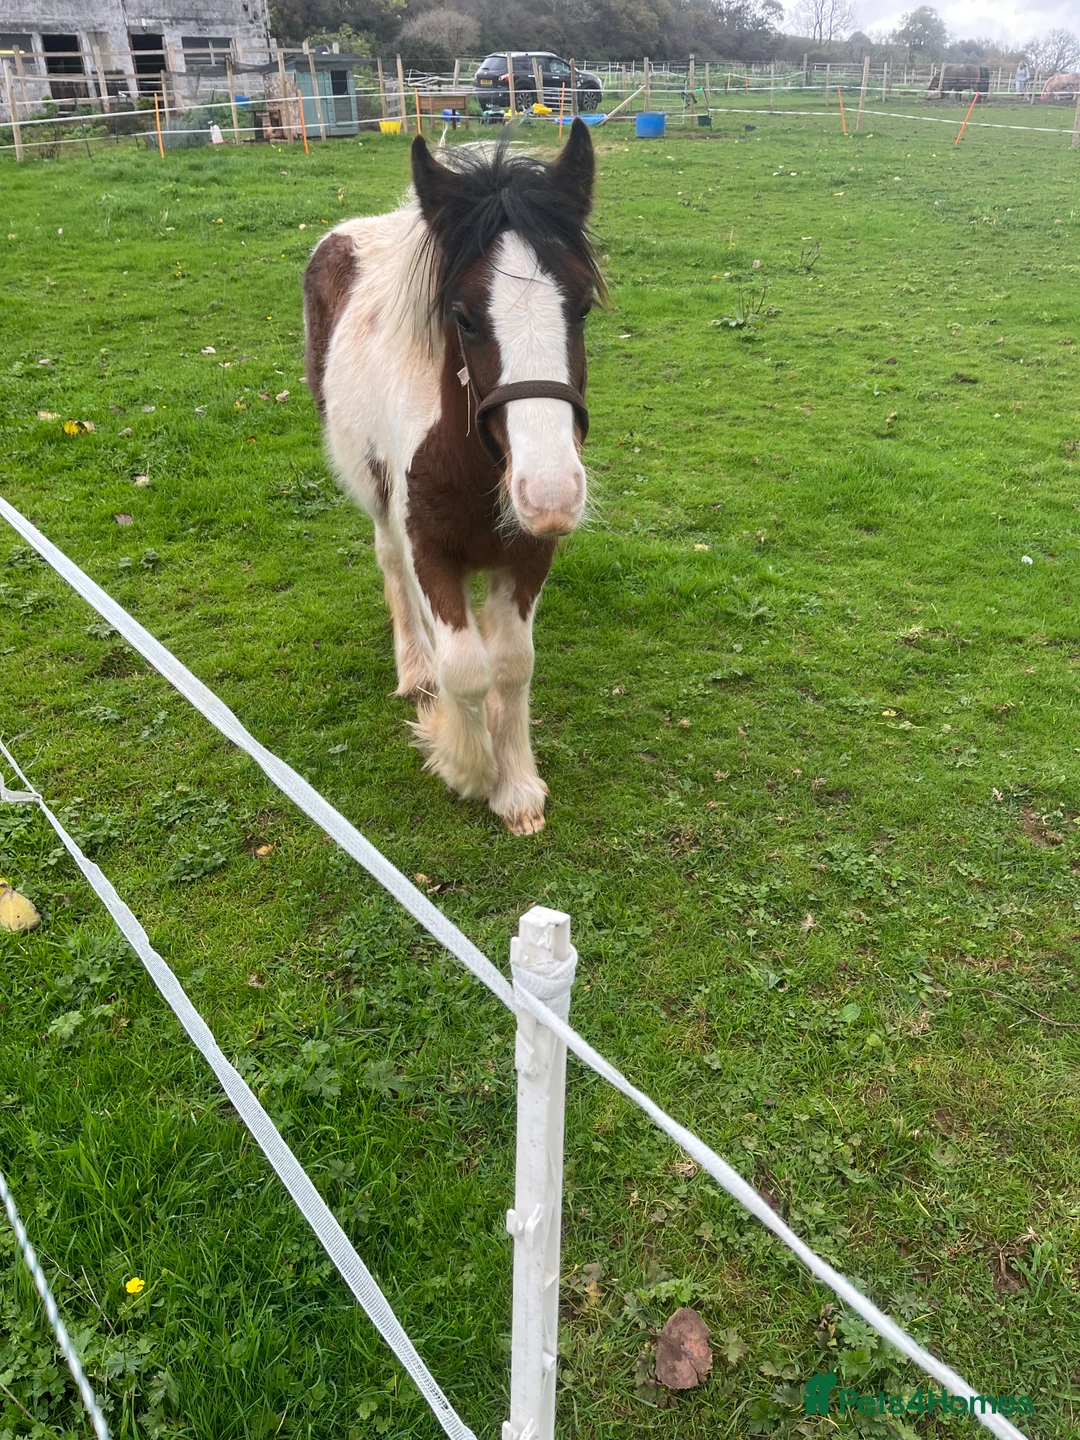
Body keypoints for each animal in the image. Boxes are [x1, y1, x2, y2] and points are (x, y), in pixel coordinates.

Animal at [302, 121, 601, 835]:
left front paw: (516, 785)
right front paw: (466, 766)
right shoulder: (429, 545)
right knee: (390, 563)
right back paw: (416, 670)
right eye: (463, 316)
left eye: (581, 308)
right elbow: (466, 666)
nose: (551, 494)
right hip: (375, 490)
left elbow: (512, 664)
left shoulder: (528, 552)